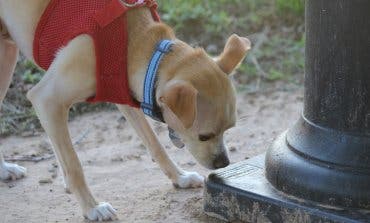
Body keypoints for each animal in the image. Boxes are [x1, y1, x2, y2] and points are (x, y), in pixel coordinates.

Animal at [0, 0, 251, 221]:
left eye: (229, 129)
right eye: (204, 136)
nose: (224, 164)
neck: (137, 44)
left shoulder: (127, 96)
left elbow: (155, 145)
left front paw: (179, 177)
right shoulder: (47, 100)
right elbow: (74, 166)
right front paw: (92, 208)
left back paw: (4, 170)